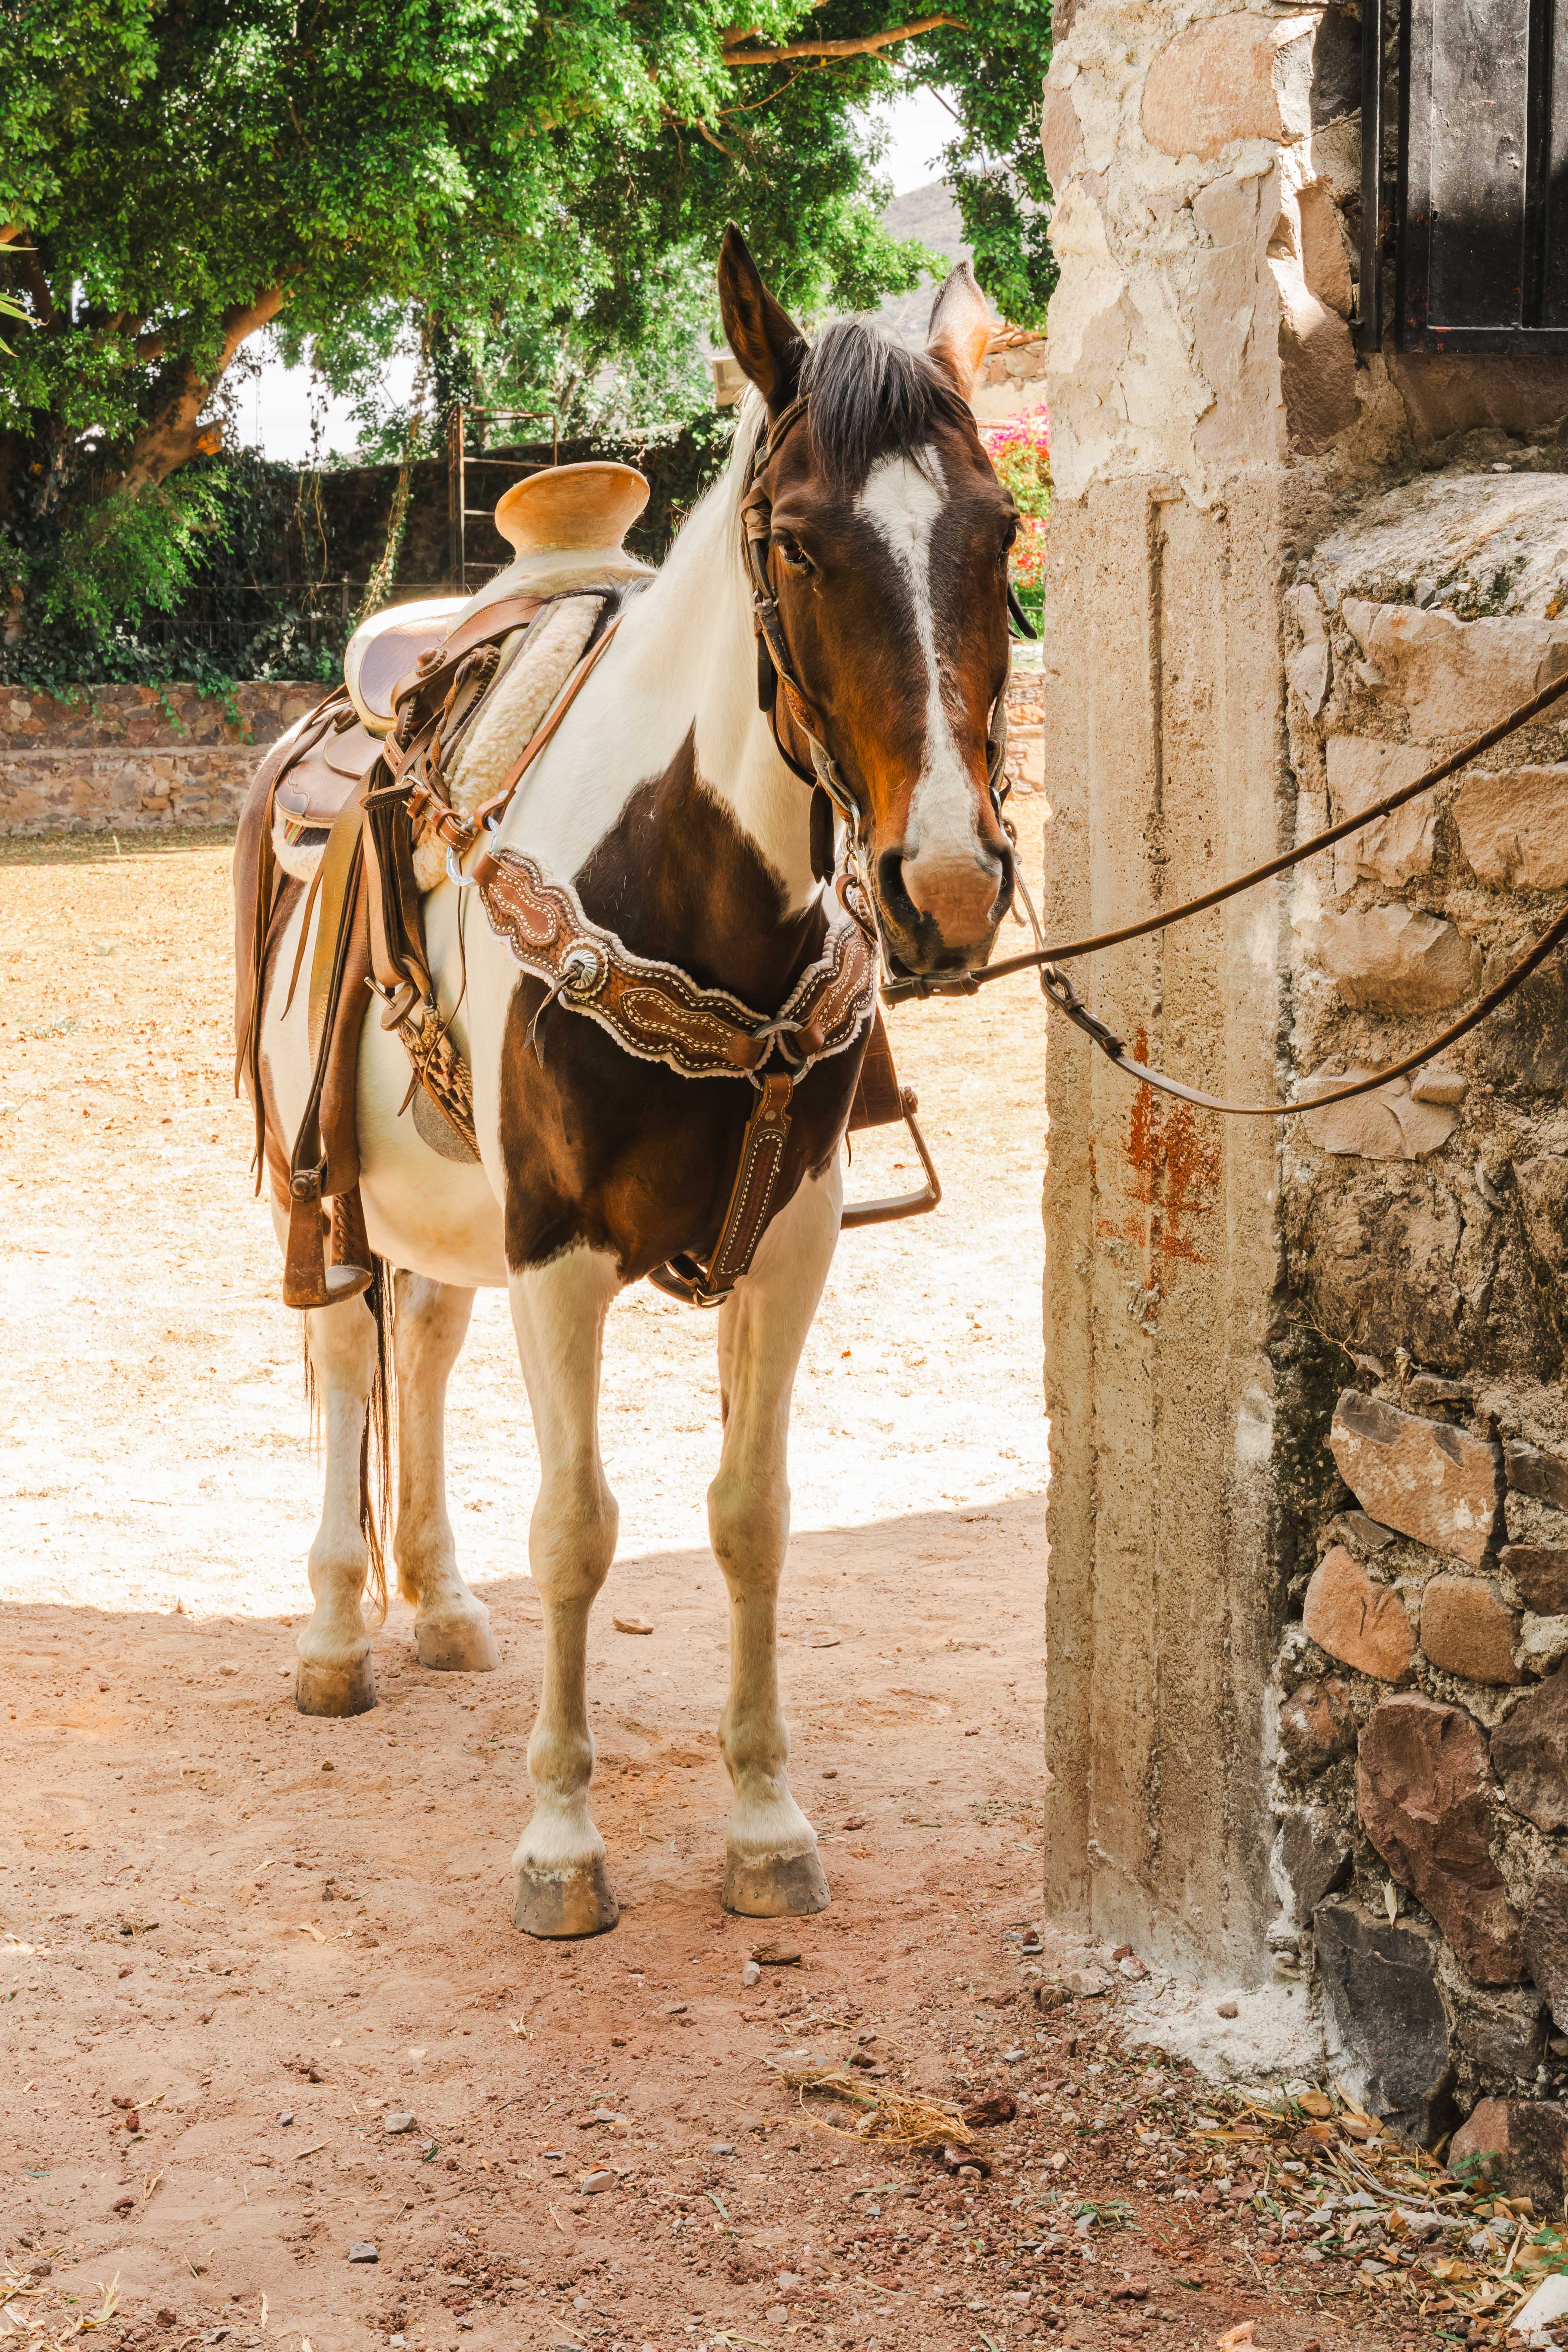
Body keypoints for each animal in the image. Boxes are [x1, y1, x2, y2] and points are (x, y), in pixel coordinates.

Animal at [235, 228, 1019, 1938]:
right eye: (795, 545)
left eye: (998, 532)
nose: (942, 886)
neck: (692, 896)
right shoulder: (559, 1246)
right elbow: (579, 1528)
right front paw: (559, 1845)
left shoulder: (787, 1242)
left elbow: (748, 1517)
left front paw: (762, 1822)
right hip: (323, 1187)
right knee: (345, 1368)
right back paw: (333, 1640)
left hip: (446, 1210)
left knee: (422, 1351)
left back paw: (440, 1604)